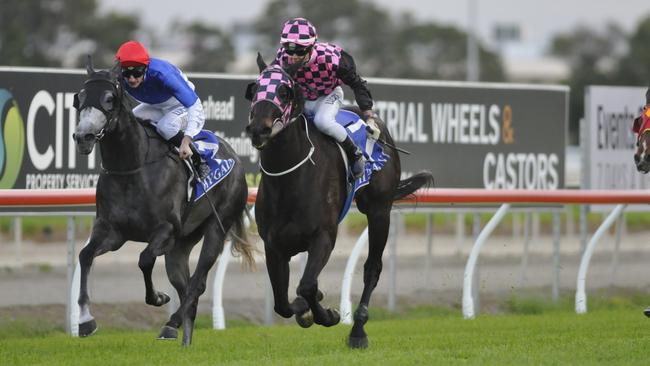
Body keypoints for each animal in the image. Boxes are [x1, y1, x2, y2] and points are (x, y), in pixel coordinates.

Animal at [72, 60, 252, 346]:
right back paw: (184, 339)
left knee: (197, 282)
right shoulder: (112, 231)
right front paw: (85, 320)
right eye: (79, 99)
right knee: (187, 288)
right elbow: (85, 255)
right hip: (180, 245)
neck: (133, 167)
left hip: (217, 226)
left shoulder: (165, 230)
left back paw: (171, 323)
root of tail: (235, 157)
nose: (83, 137)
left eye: (109, 98)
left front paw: (158, 297)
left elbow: (144, 259)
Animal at [243, 59, 430, 348]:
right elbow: (282, 303)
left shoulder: (323, 236)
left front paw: (328, 315)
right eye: (253, 90)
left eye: (284, 91)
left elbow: (307, 285)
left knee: (372, 268)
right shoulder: (274, 246)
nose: (258, 129)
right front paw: (307, 308)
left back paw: (358, 331)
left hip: (379, 211)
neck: (290, 179)